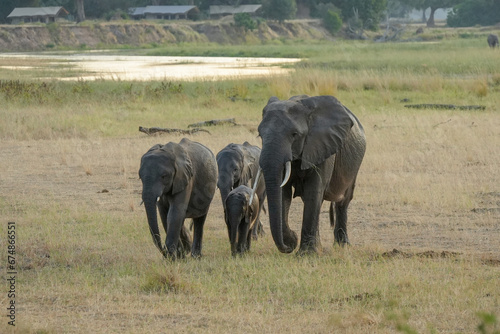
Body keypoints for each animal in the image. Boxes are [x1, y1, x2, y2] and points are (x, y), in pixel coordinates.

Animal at [256, 95, 366, 254]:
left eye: (294, 134)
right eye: (260, 135)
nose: (289, 246)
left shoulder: (322, 147)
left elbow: (313, 191)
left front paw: (305, 254)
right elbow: (284, 193)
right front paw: (293, 240)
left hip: (355, 164)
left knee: (343, 201)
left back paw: (342, 245)